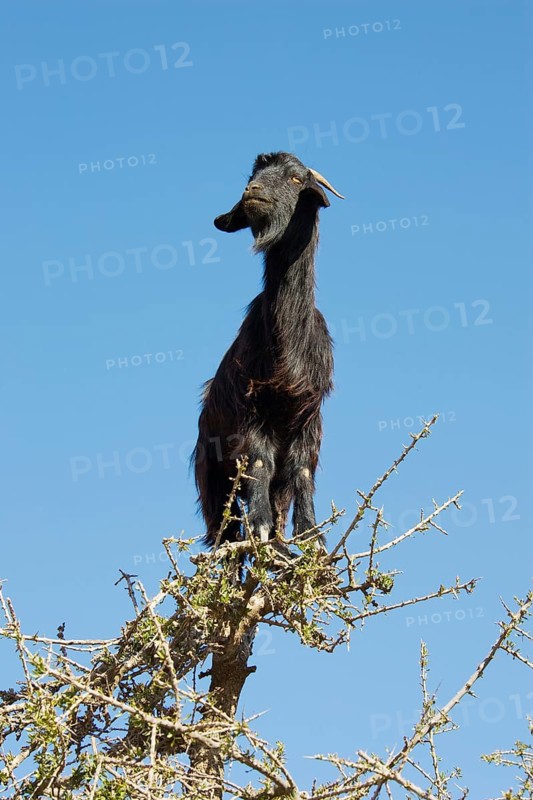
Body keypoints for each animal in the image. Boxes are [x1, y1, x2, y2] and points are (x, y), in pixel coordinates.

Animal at [193, 151, 343, 549]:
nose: (253, 191)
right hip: (212, 478)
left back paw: (279, 546)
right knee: (225, 530)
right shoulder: (253, 408)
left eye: (295, 179)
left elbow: (301, 470)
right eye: (252, 177)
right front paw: (259, 526)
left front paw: (312, 538)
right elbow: (261, 462)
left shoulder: (309, 415)